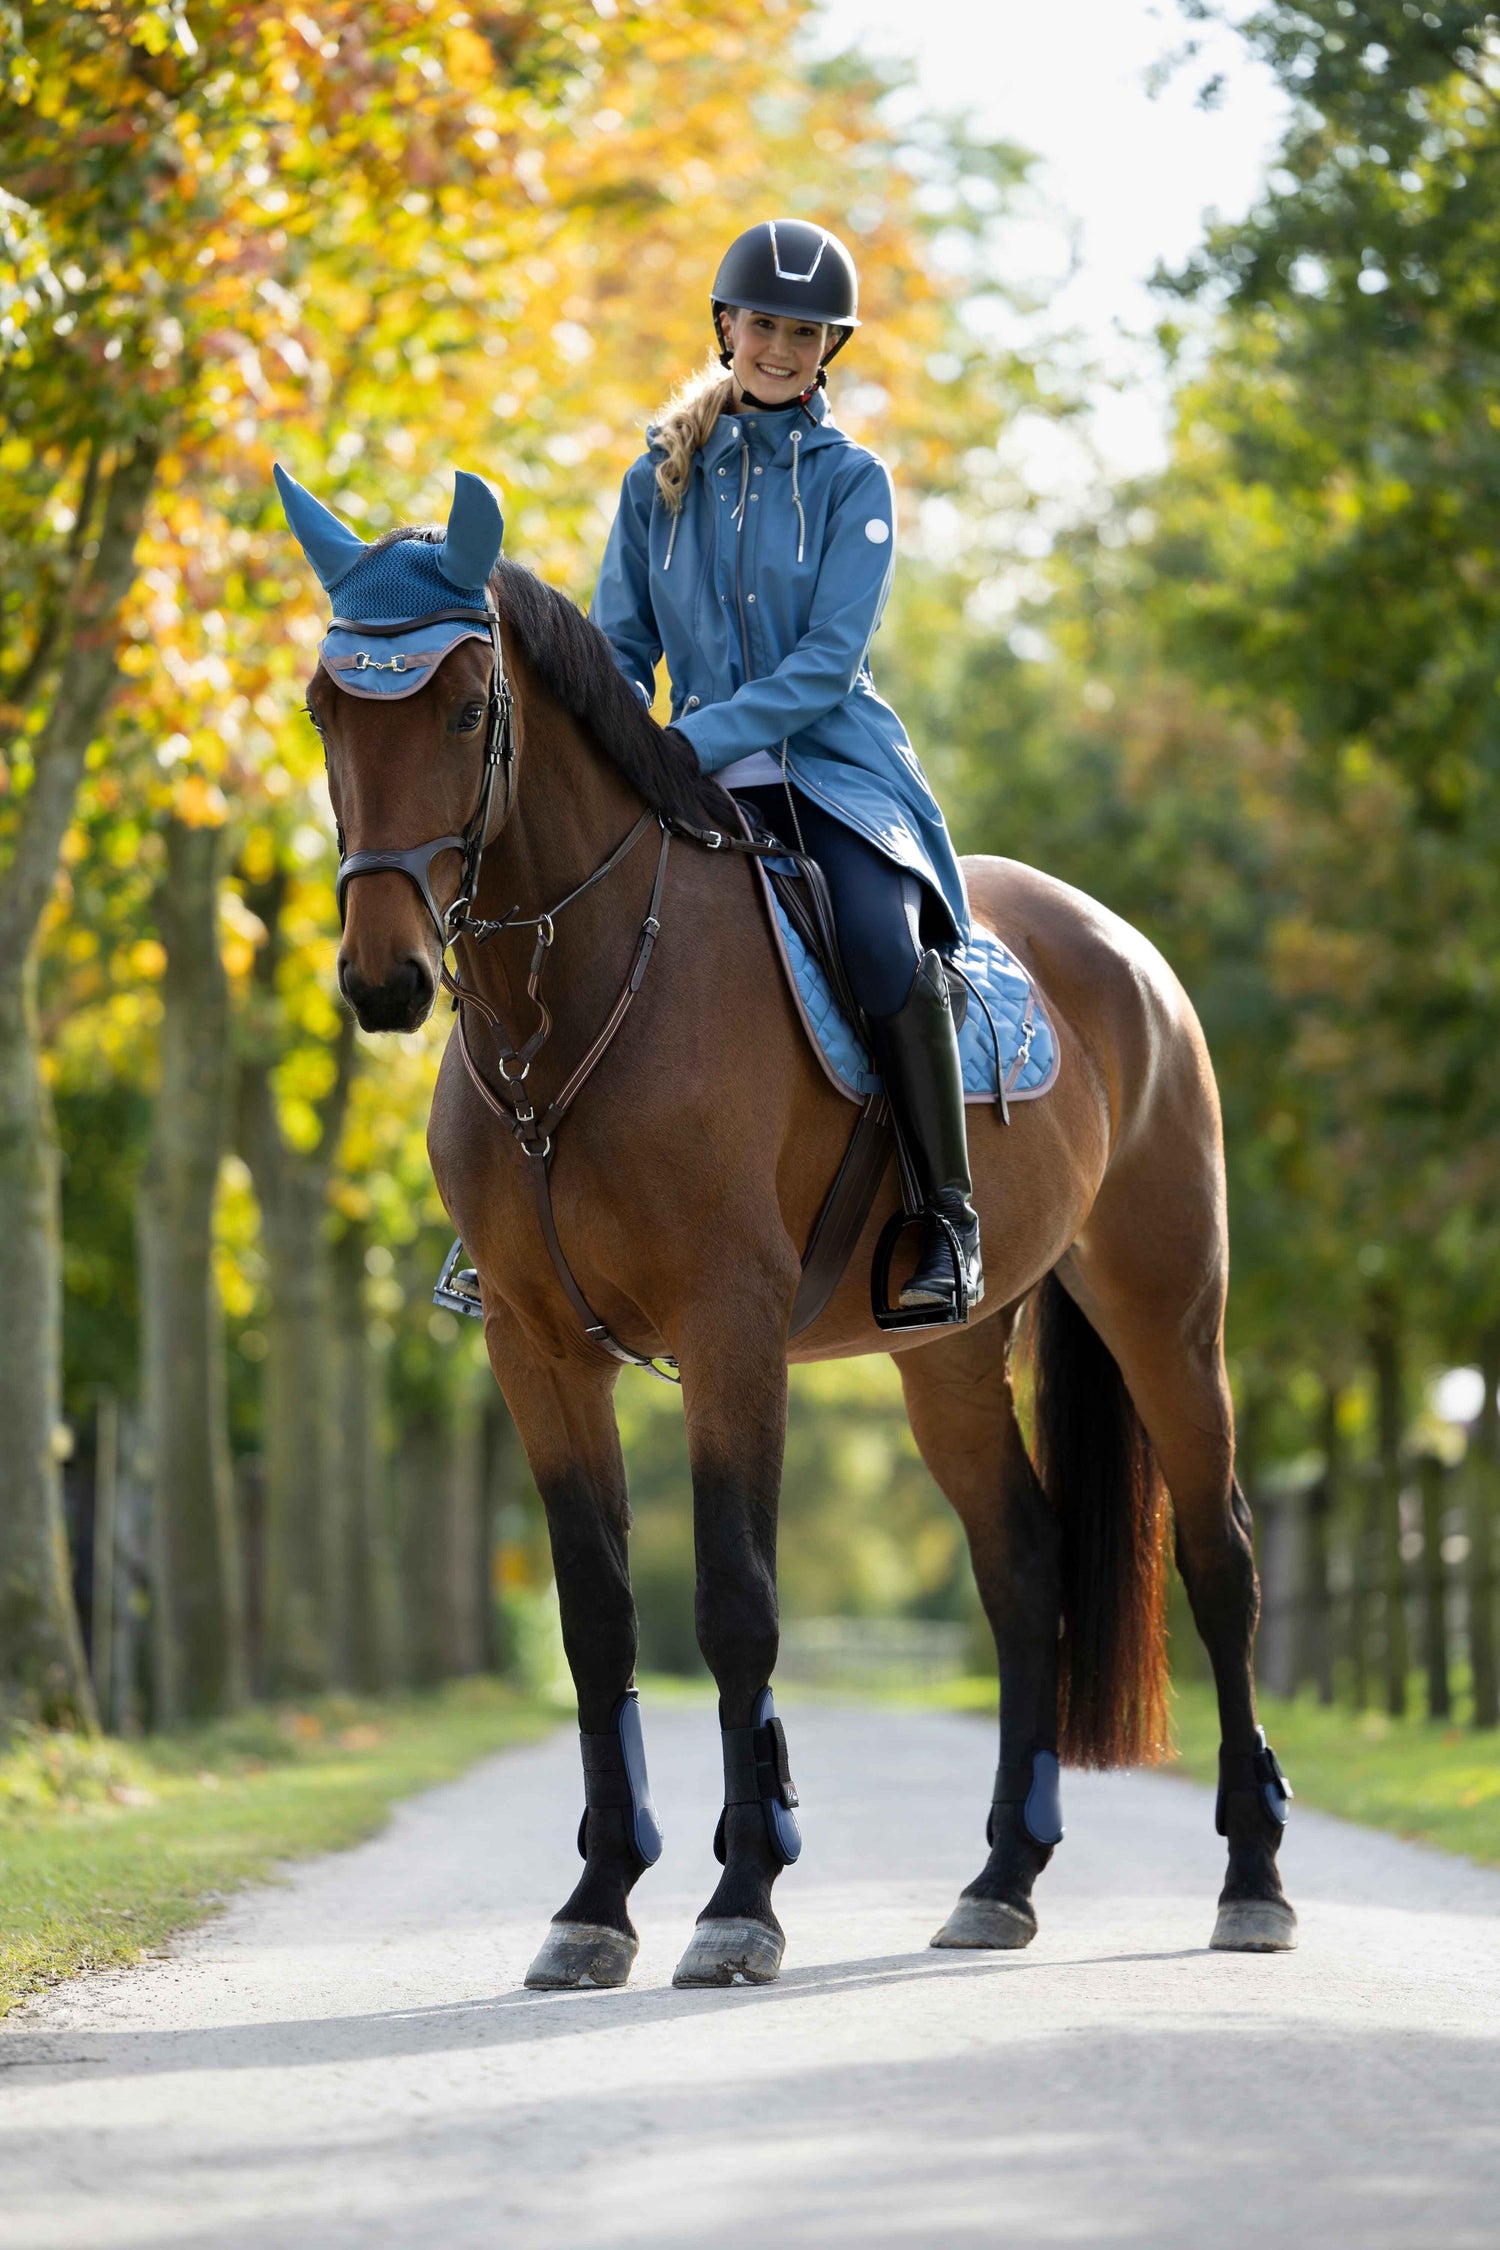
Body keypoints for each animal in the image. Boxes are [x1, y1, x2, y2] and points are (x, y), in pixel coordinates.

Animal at [310, 517, 1295, 1980]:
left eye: (468, 706)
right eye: (325, 708)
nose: (383, 978)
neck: (577, 998)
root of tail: (1125, 952)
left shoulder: (730, 1329)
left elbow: (737, 1601)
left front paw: (739, 1896)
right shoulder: (537, 1352)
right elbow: (598, 1617)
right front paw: (596, 1901)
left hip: (1168, 1314)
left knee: (1221, 1563)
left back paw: (1252, 1878)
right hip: (950, 1356)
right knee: (1024, 1567)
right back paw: (1000, 1879)